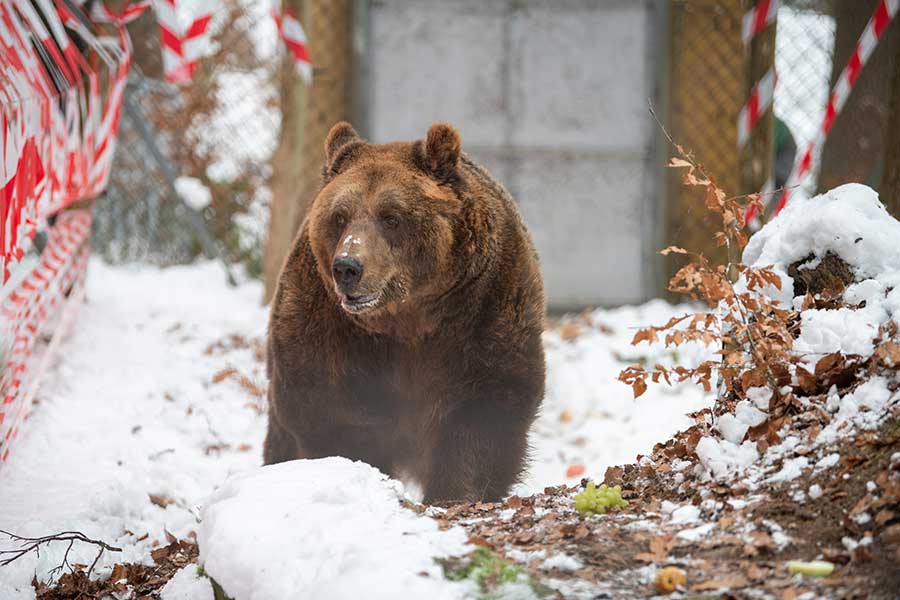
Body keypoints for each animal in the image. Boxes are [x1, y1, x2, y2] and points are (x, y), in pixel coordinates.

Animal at [264, 122, 544, 502]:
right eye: (340, 216)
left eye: (391, 217)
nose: (347, 267)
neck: (406, 318)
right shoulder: (328, 329)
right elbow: (331, 411)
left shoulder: (485, 309)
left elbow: (485, 406)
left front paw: (455, 492)